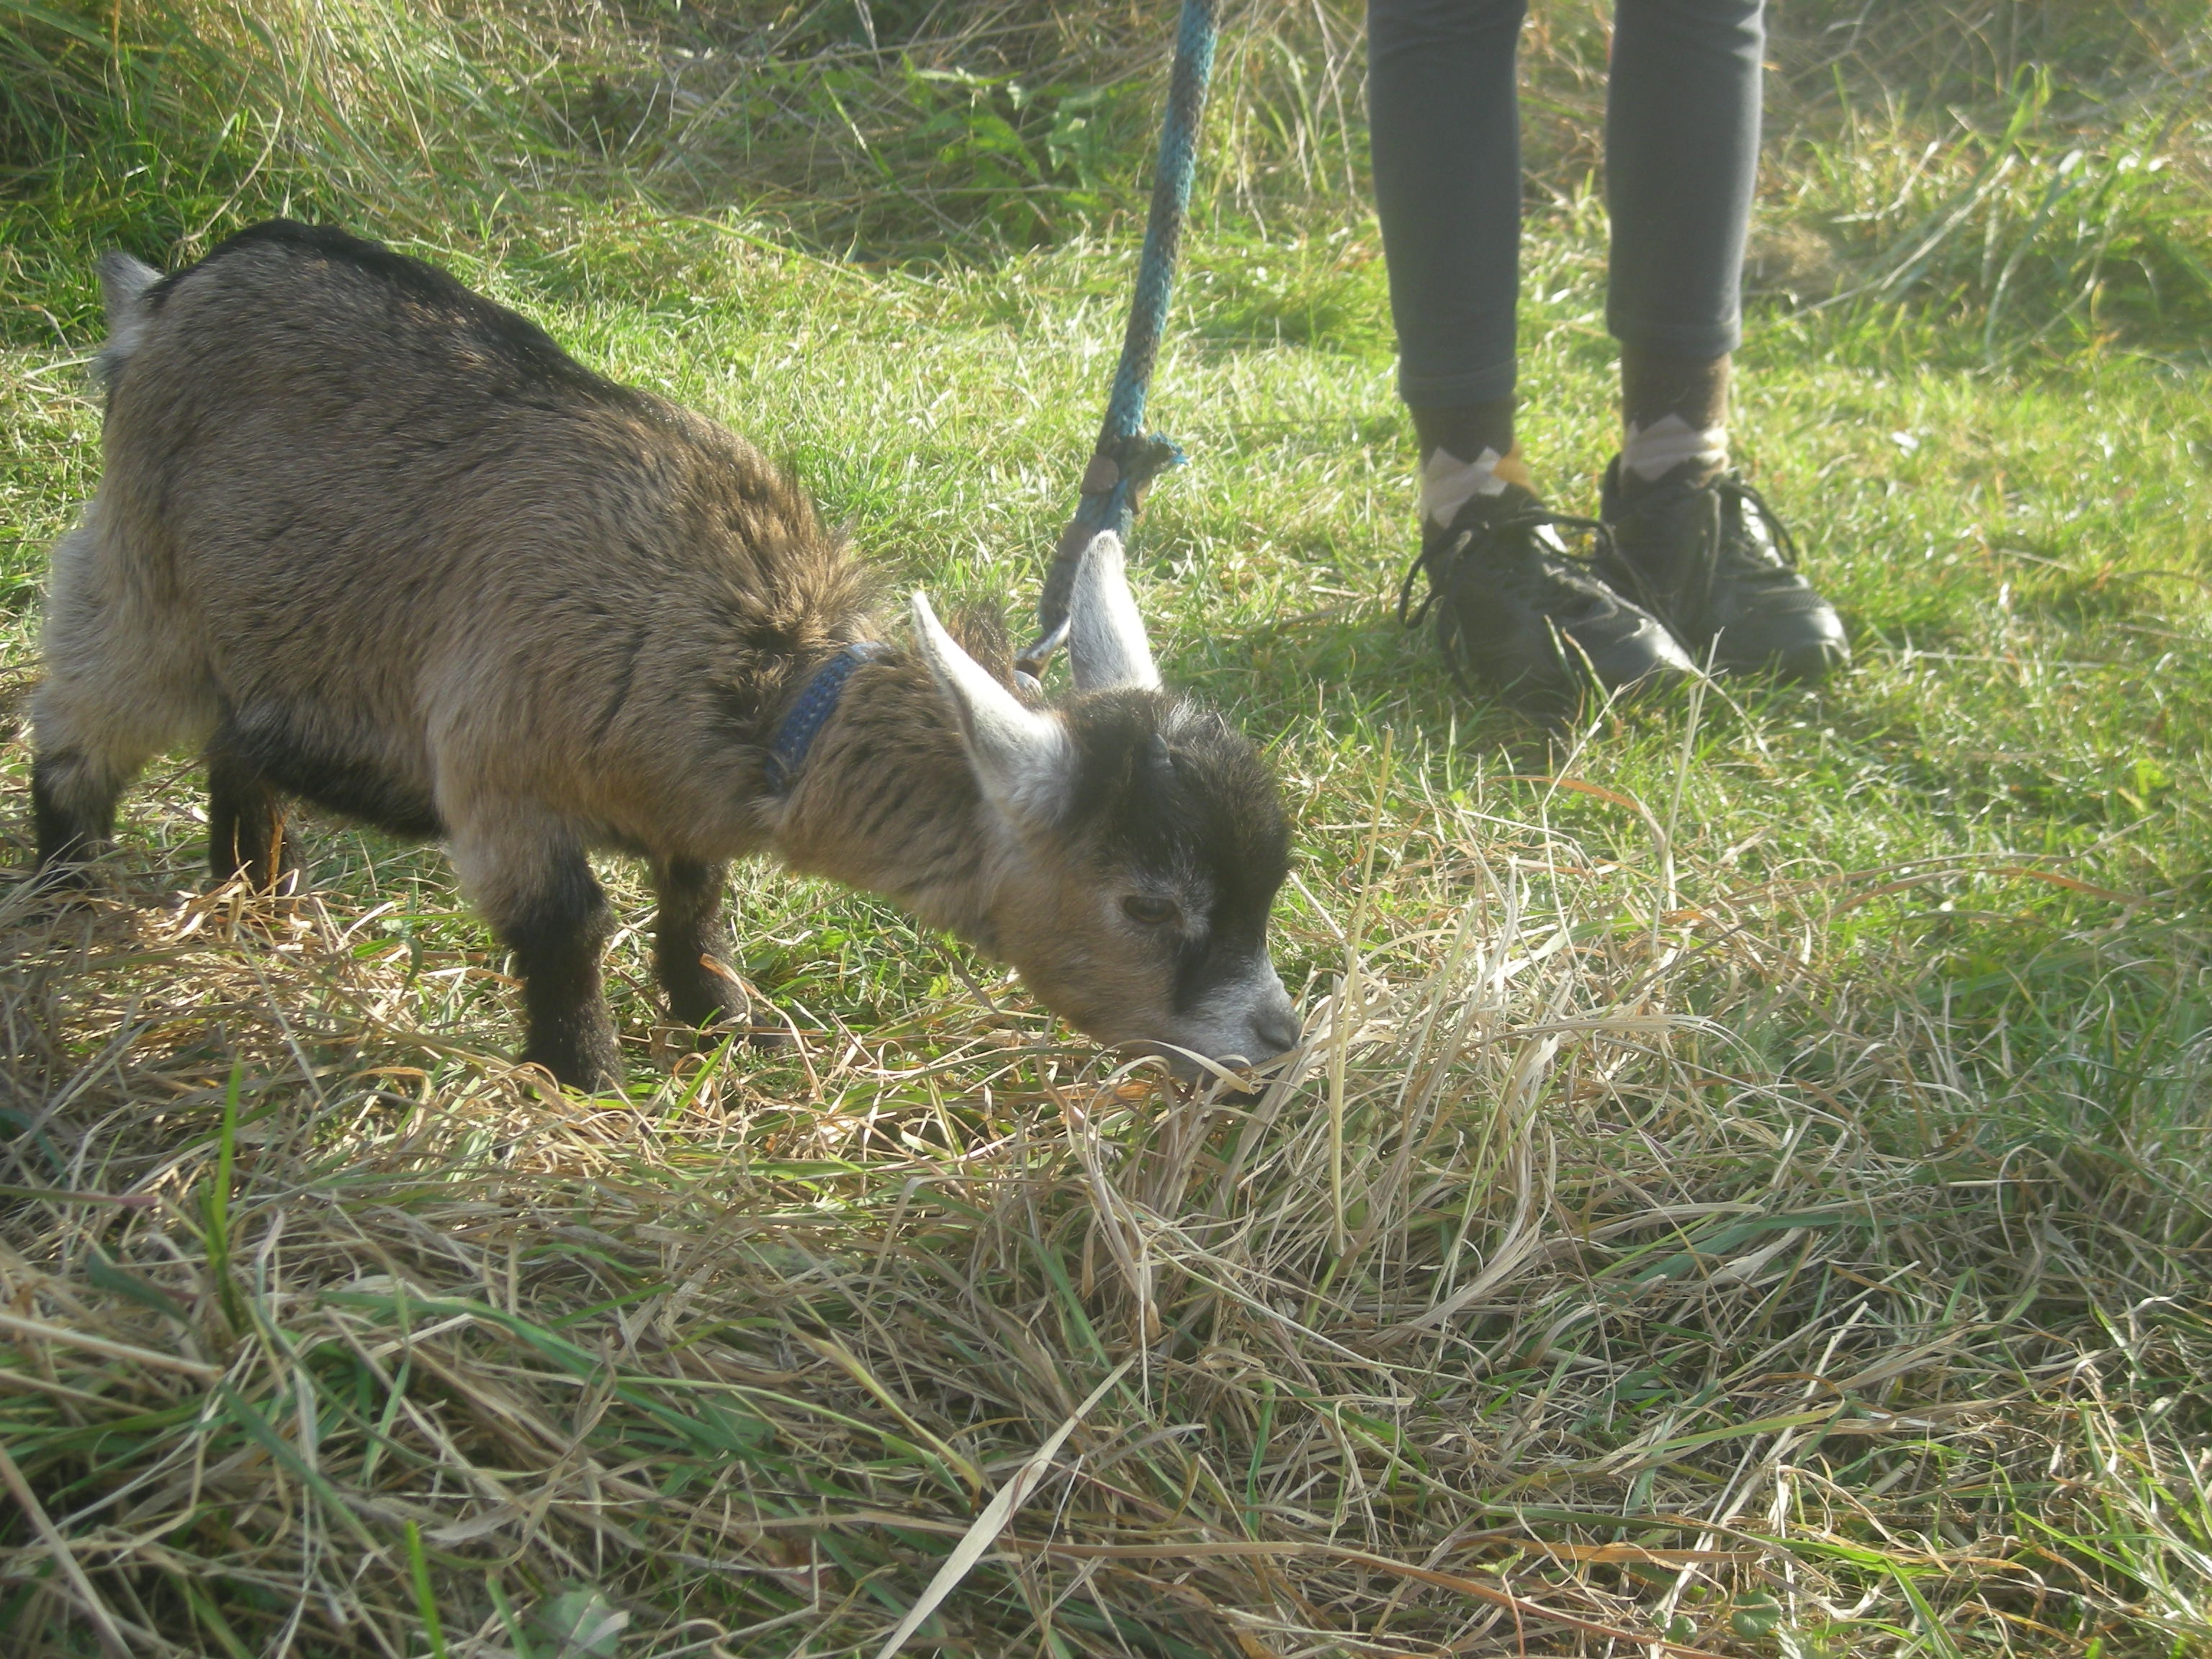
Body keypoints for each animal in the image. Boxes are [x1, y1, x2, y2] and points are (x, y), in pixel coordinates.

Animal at [30, 221, 1292, 1092]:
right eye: (1145, 905)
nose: (1277, 1036)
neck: (763, 674)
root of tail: (166, 294)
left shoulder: (682, 796)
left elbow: (696, 895)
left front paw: (724, 1017)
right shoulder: (500, 774)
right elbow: (570, 927)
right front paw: (586, 1081)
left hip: (264, 627)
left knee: (238, 748)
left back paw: (254, 894)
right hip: (137, 583)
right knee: (74, 731)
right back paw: (67, 901)